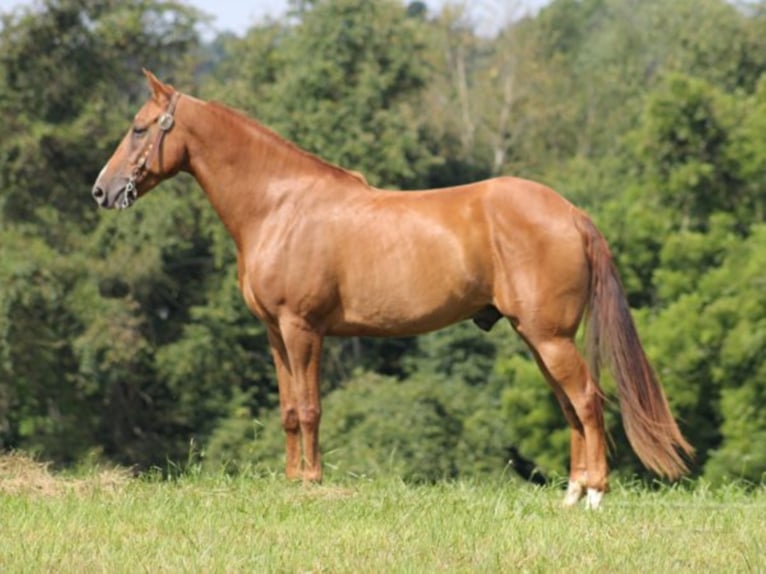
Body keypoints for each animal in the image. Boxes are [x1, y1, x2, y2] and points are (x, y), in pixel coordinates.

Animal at [93, 71, 692, 508]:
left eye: (141, 128)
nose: (102, 190)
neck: (280, 205)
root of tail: (571, 213)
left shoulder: (303, 328)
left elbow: (309, 408)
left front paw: (312, 483)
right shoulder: (275, 333)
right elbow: (287, 410)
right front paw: (290, 482)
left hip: (550, 338)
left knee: (587, 399)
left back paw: (595, 495)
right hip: (537, 338)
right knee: (570, 404)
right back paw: (570, 494)